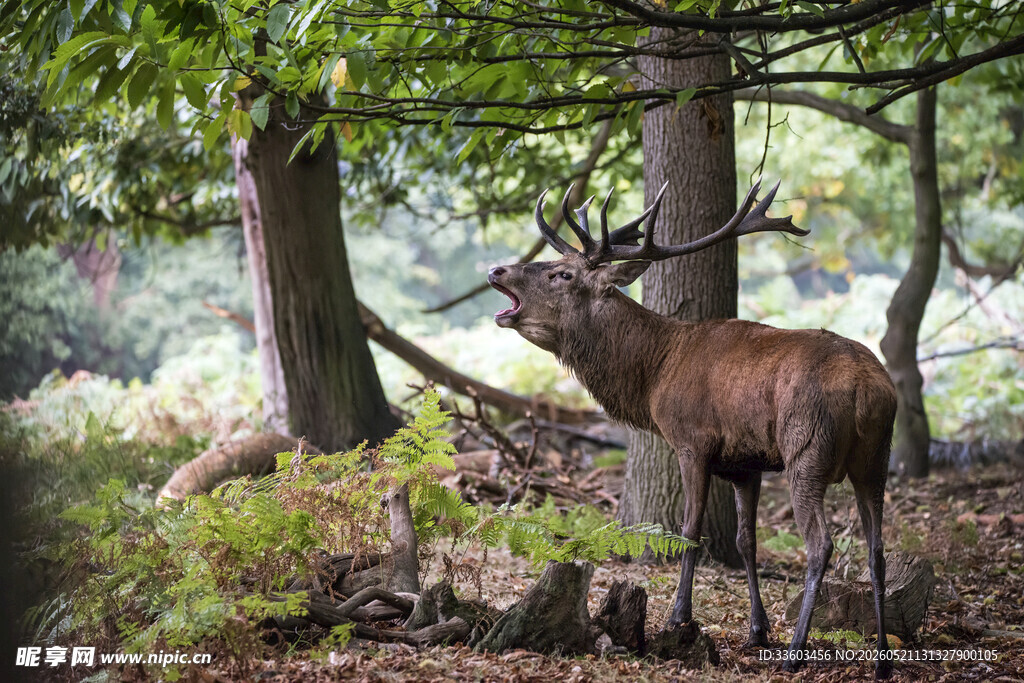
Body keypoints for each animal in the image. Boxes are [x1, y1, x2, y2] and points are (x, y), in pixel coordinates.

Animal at [488, 180, 897, 678]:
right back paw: (882, 661)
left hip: (808, 449)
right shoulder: (746, 464)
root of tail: (867, 389)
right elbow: (746, 542)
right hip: (876, 457)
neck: (654, 374)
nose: (496, 269)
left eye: (562, 274)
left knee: (821, 544)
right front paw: (757, 630)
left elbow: (689, 529)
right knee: (877, 549)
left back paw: (796, 651)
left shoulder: (692, 441)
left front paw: (679, 617)